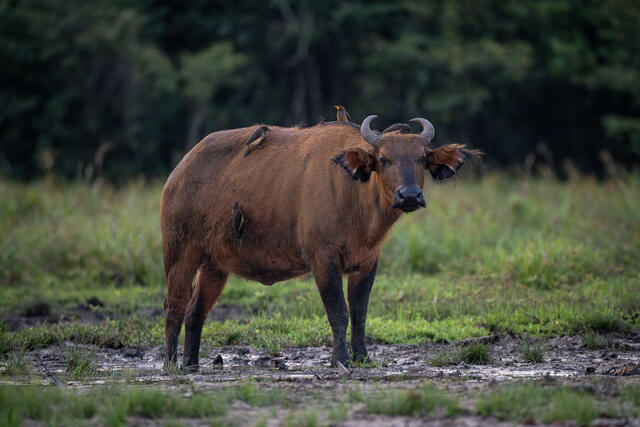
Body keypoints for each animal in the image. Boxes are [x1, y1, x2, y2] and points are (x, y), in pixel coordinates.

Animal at [161, 115, 479, 370]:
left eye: (421, 158)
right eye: (384, 159)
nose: (409, 195)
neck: (353, 195)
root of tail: (179, 171)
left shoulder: (367, 262)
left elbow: (360, 313)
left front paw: (362, 357)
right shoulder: (323, 260)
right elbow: (338, 312)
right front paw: (340, 359)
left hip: (215, 265)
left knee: (196, 311)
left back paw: (191, 363)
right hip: (178, 253)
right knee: (174, 306)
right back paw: (171, 363)